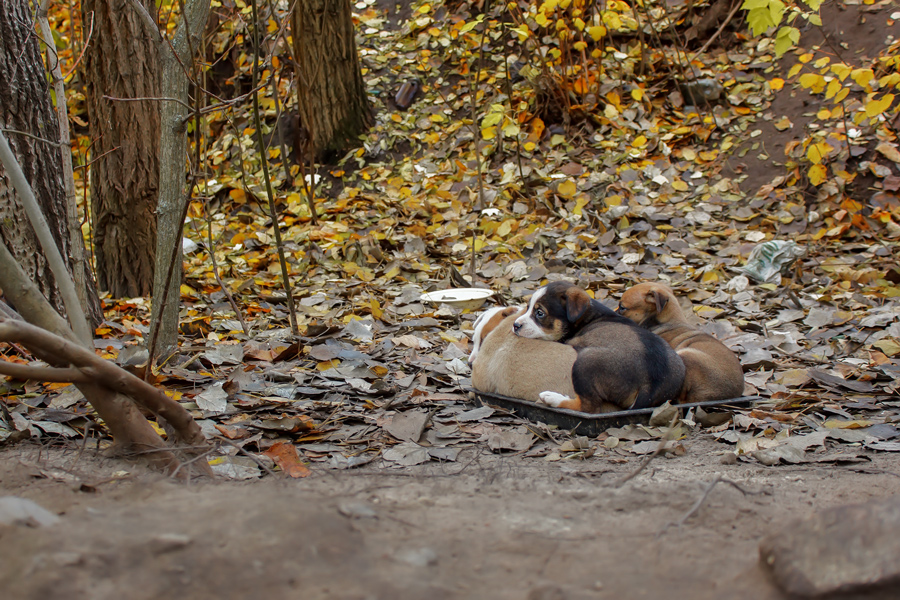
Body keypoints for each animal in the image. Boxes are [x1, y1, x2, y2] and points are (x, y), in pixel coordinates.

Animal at [513, 281, 685, 413]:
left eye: (540, 313)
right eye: (528, 308)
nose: (515, 325)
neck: (588, 316)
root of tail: (649, 386)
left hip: (586, 361)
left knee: (589, 407)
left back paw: (552, 398)